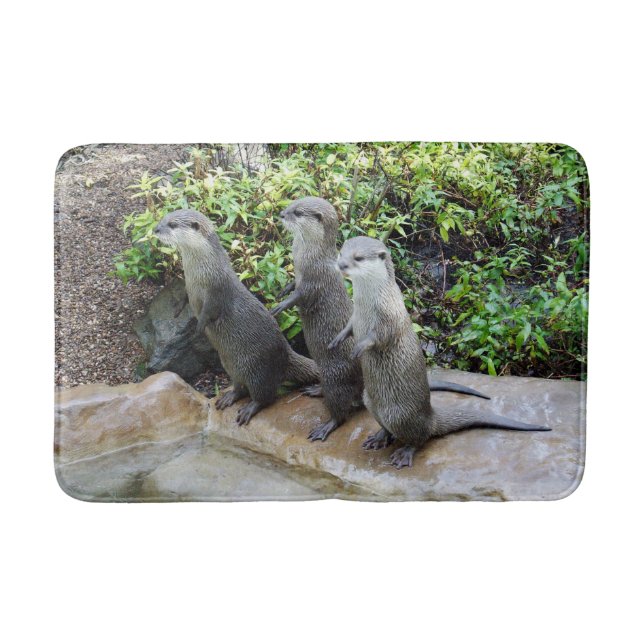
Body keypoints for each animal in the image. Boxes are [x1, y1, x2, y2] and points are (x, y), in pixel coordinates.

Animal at [153, 209, 319, 425]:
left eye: (172, 224)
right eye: (163, 219)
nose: (156, 229)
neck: (201, 273)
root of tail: (286, 353)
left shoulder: (217, 290)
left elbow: (209, 311)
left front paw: (198, 328)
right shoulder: (189, 286)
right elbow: (185, 298)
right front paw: (177, 308)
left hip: (259, 371)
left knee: (266, 396)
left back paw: (249, 409)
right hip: (230, 365)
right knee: (241, 387)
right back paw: (229, 397)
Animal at [273, 197, 489, 442]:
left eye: (298, 212)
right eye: (291, 204)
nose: (281, 214)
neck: (306, 257)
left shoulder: (316, 279)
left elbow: (301, 295)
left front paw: (282, 305)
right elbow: (294, 285)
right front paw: (284, 290)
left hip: (335, 376)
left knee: (341, 408)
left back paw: (327, 425)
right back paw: (316, 389)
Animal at [329, 236, 551, 469]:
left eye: (358, 258)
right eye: (341, 253)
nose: (341, 265)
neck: (369, 305)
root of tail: (430, 416)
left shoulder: (389, 318)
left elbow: (378, 338)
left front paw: (358, 348)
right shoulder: (355, 316)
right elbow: (348, 328)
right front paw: (337, 339)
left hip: (399, 415)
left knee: (420, 437)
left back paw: (404, 453)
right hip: (370, 402)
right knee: (389, 427)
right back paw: (380, 437)